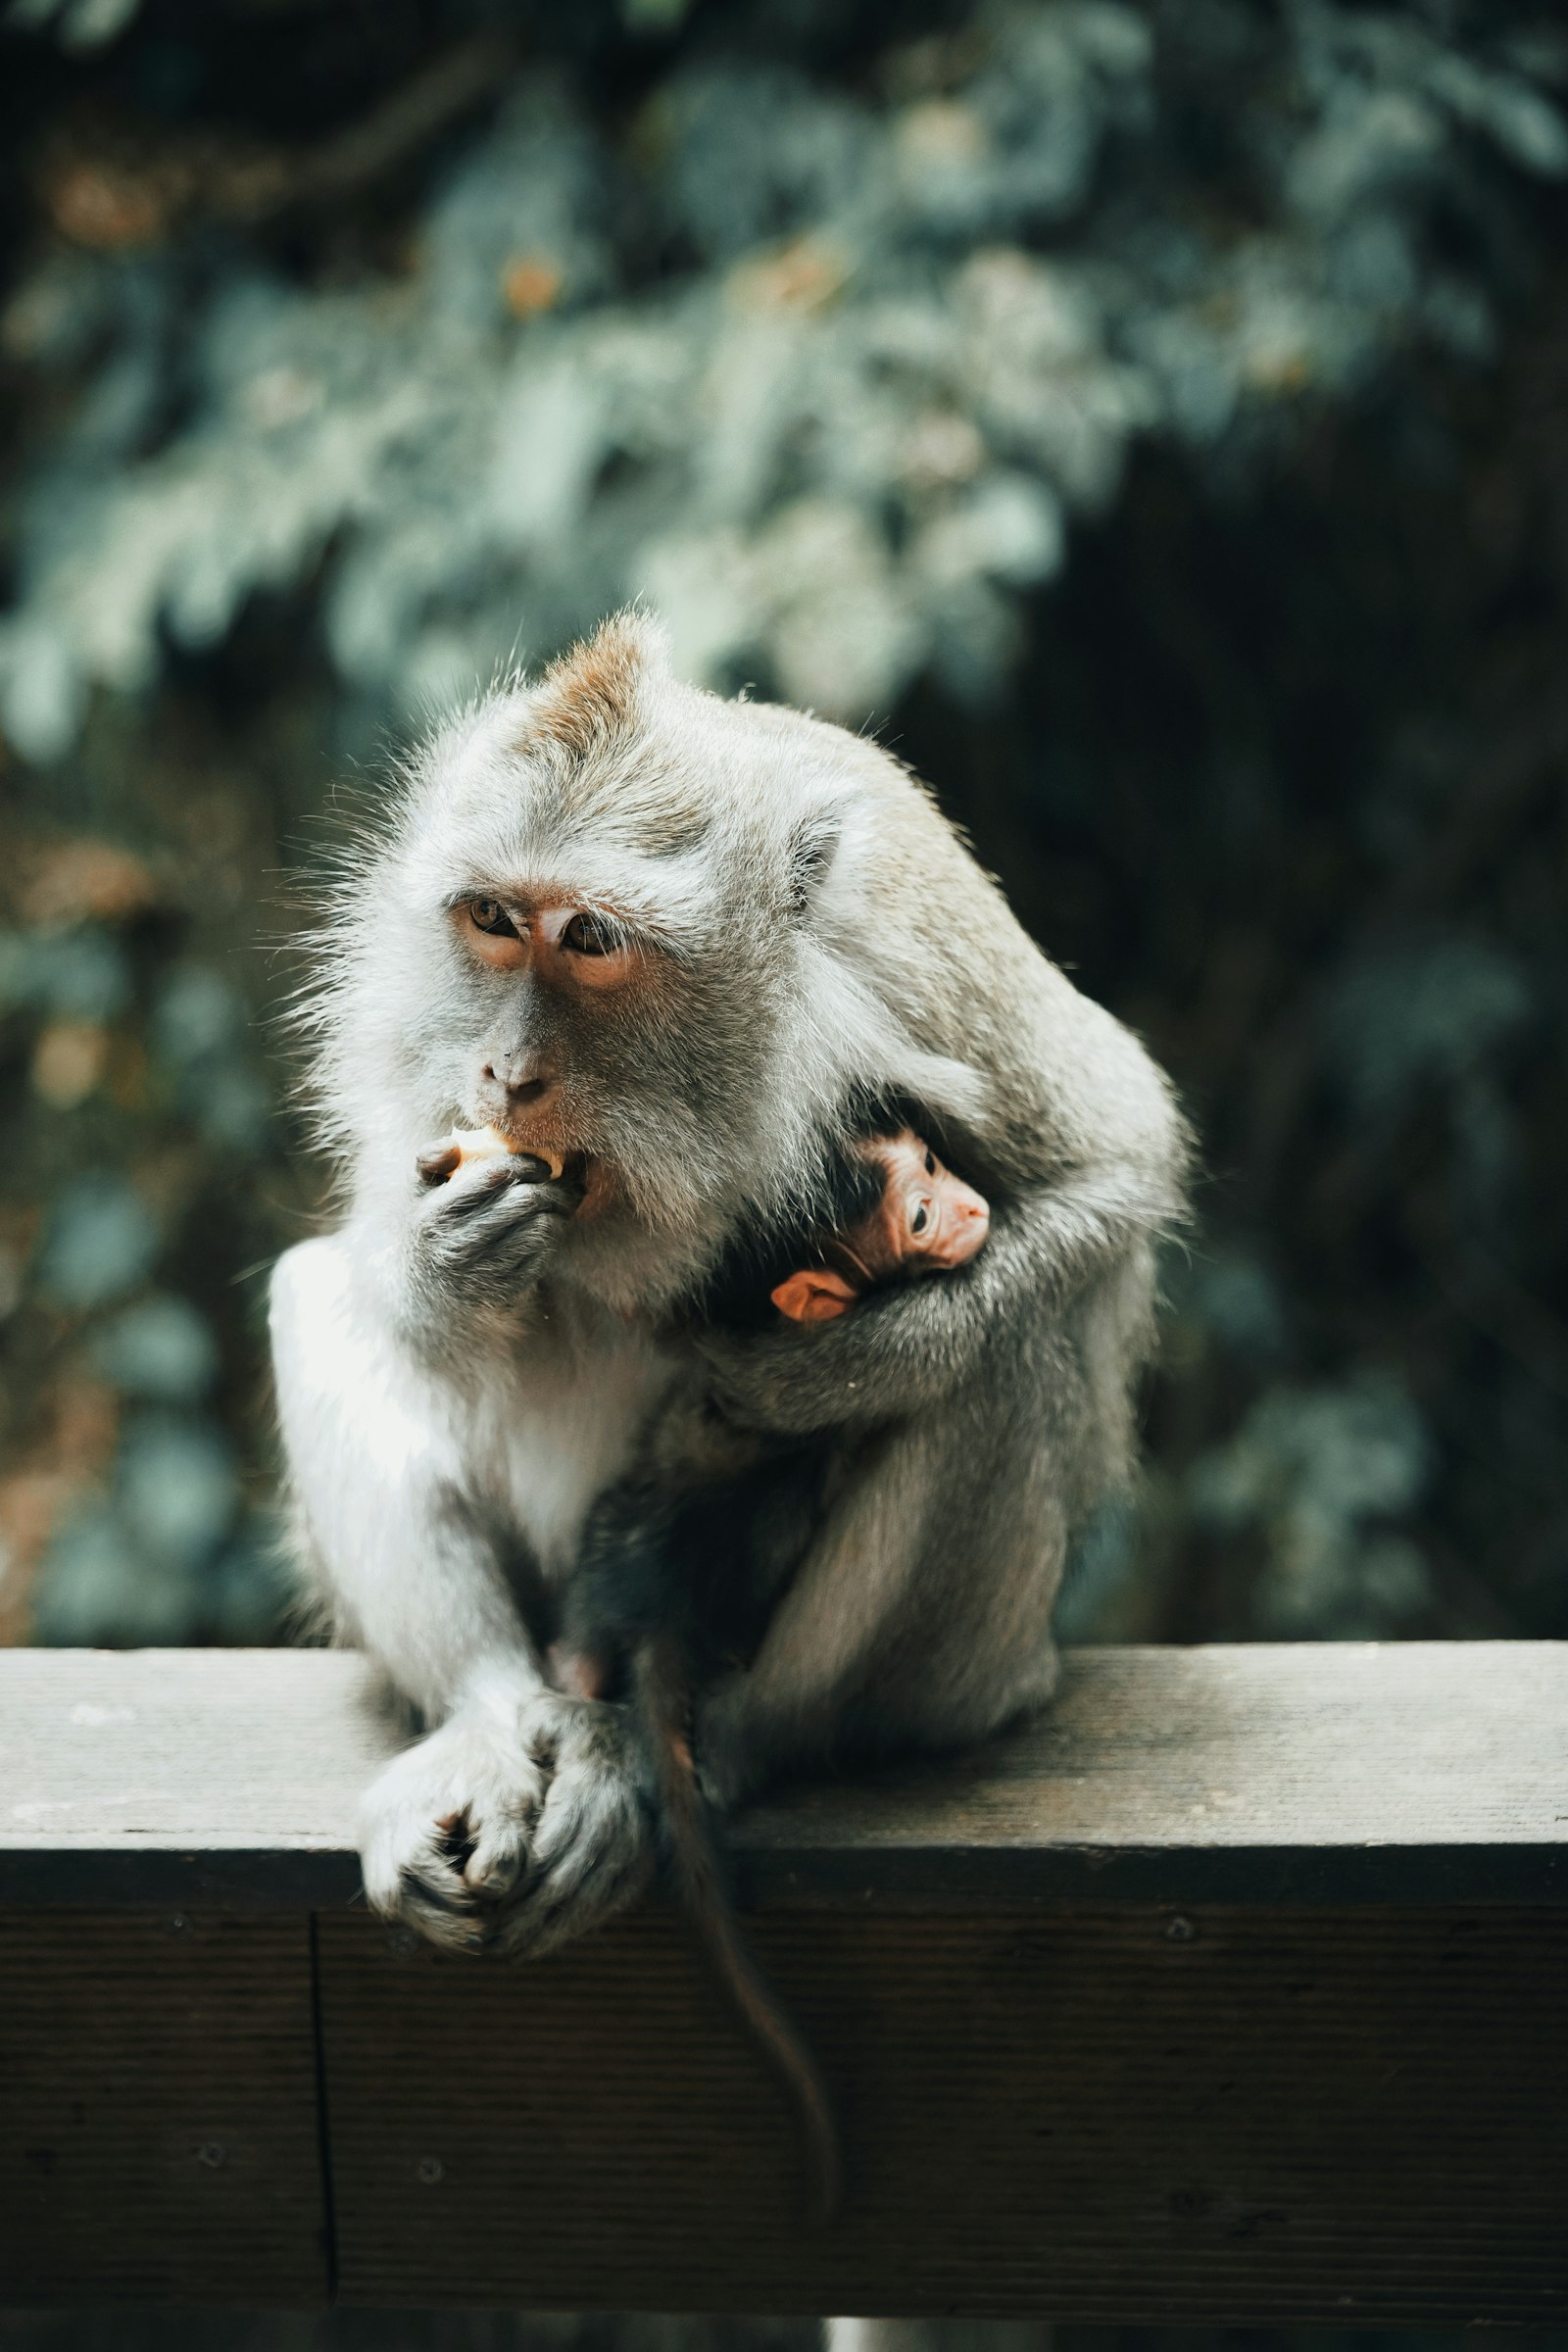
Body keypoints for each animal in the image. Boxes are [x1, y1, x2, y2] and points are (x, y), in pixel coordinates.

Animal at [270, 612, 1184, 1966]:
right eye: (490, 917)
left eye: (591, 938)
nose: (505, 1070)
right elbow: (380, 1247)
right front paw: (444, 1259)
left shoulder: (916, 933)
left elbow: (1115, 1166)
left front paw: (812, 1378)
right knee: (315, 1296)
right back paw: (490, 1716)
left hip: (970, 1677)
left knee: (1008, 1356)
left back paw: (728, 1746)